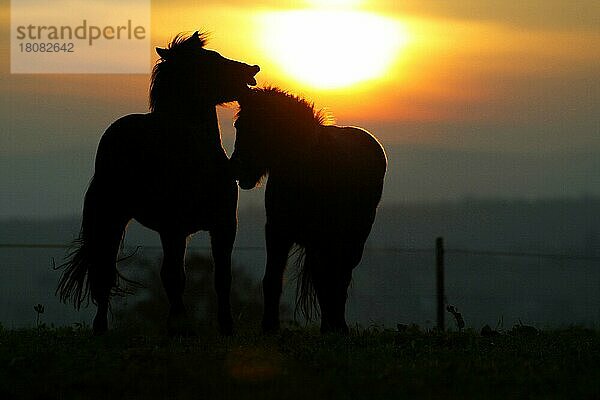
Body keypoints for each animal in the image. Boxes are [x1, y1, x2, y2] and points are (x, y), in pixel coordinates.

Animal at [56, 32, 260, 336]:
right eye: (212, 59)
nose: (252, 69)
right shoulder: (172, 229)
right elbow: (174, 277)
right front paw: (178, 326)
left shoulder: (223, 225)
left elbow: (223, 277)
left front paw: (226, 326)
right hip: (110, 218)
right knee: (104, 266)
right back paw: (100, 327)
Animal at [232, 88, 386, 334]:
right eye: (239, 125)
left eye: (266, 125)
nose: (237, 168)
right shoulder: (276, 231)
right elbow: (272, 278)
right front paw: (269, 327)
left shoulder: (318, 238)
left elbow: (326, 280)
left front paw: (333, 327)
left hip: (353, 239)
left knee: (339, 276)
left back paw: (337, 326)